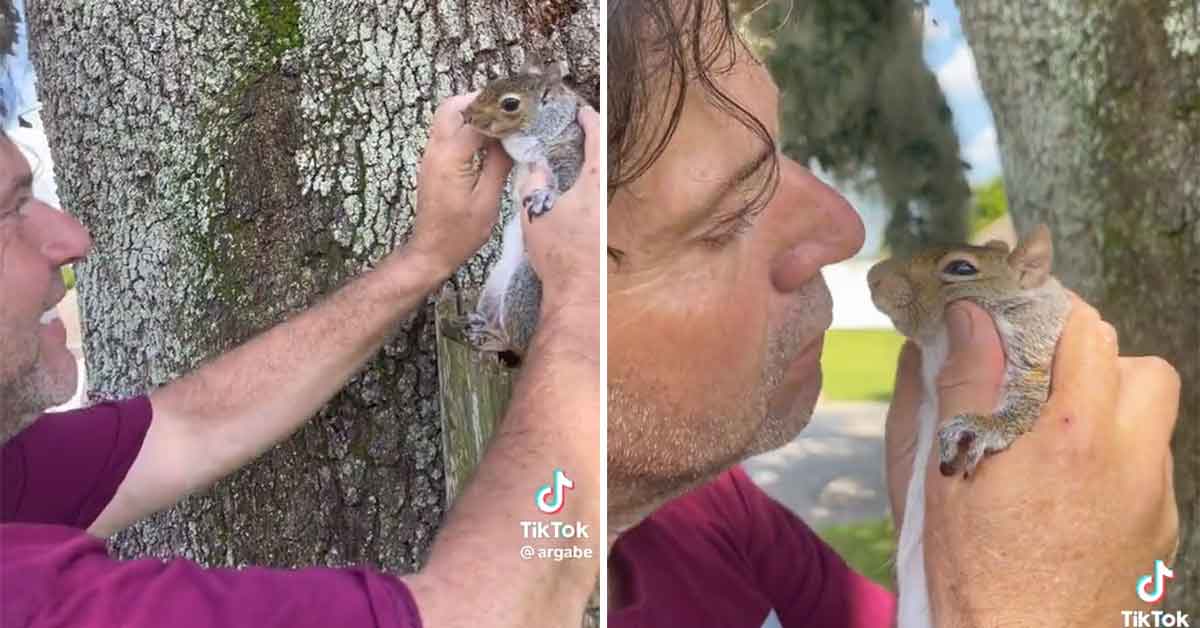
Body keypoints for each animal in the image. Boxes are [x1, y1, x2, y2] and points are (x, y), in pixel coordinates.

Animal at [458, 58, 585, 362]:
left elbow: (566, 182)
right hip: (494, 286)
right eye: (492, 82)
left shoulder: (571, 152)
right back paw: (481, 324)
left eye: (510, 104)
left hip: (525, 285)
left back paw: (496, 338)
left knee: (517, 344)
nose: (466, 114)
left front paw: (546, 195)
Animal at [864, 225, 1070, 628]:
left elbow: (1025, 406)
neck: (937, 349)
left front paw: (982, 426)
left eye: (961, 268)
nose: (873, 276)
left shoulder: (1037, 354)